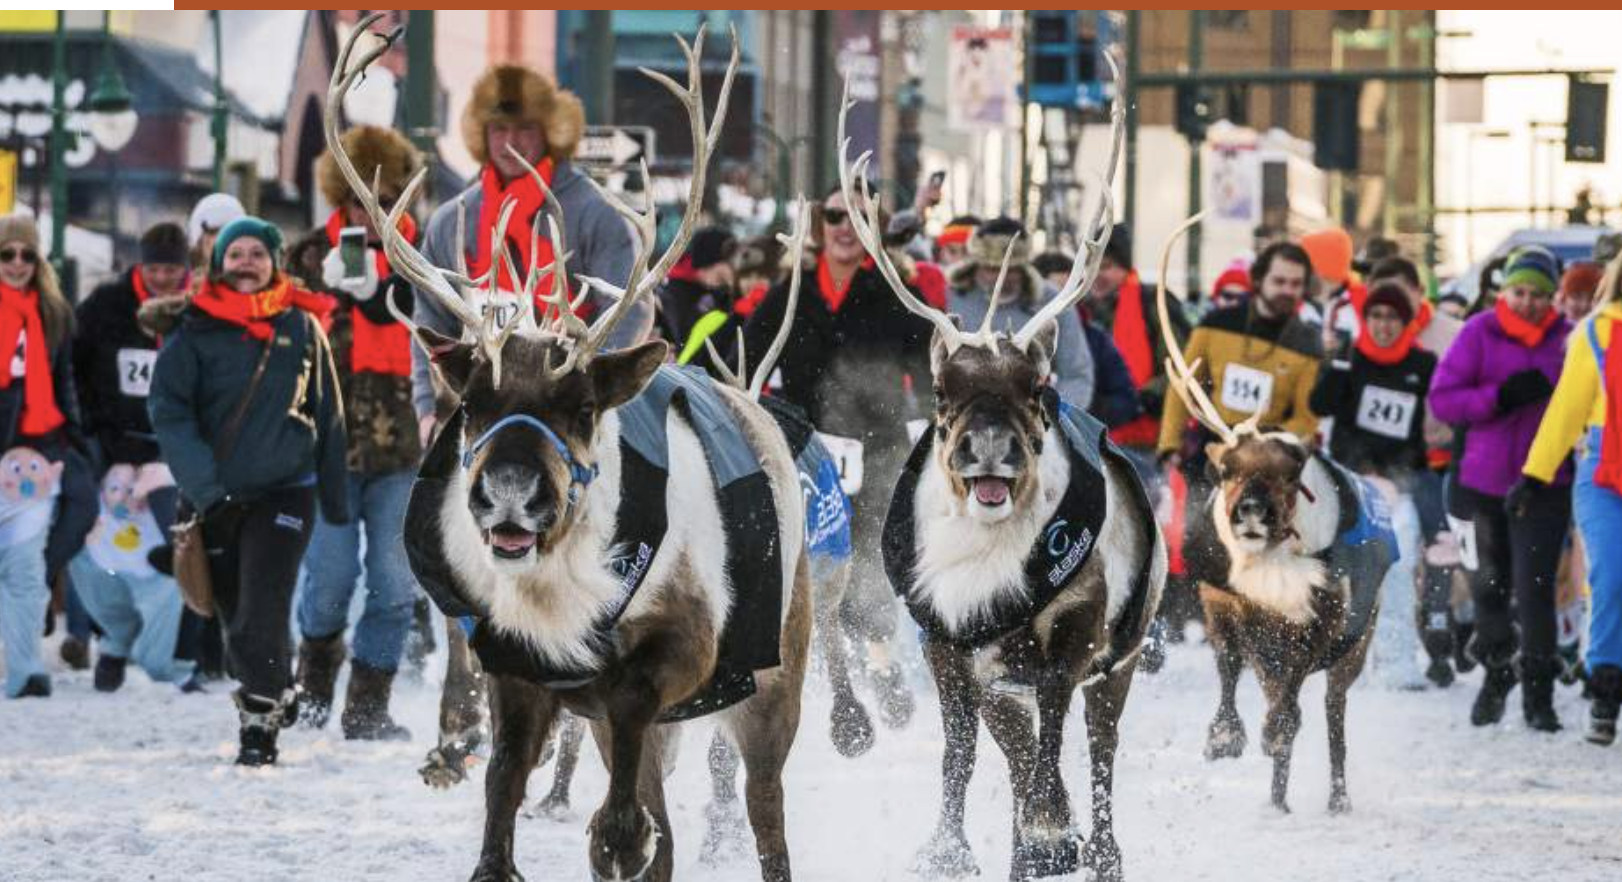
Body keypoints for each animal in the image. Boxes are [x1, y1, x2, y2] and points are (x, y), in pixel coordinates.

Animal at [328, 17, 811, 882]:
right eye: (473, 404)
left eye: (583, 407)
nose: (511, 494)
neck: (557, 596)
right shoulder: (514, 667)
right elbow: (504, 790)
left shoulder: (676, 654)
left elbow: (624, 791)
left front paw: (609, 833)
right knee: (664, 820)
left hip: (773, 680)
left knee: (763, 816)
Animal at [845, 61, 1166, 882]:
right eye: (942, 394)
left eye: (1036, 390)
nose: (988, 451)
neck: (985, 568)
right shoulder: (951, 645)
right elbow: (962, 757)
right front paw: (949, 849)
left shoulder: (1073, 638)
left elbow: (1051, 754)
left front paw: (1054, 840)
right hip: (1001, 676)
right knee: (1016, 757)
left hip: (1120, 661)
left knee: (1095, 756)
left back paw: (1097, 849)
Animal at [1154, 214, 1396, 815]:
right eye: (1226, 470)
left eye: (1292, 474)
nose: (1251, 513)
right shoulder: (1224, 603)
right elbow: (1227, 666)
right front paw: (1224, 737)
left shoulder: (1321, 621)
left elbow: (1290, 708)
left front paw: (1268, 734)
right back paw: (1278, 798)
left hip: (1358, 646)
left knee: (1332, 713)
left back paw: (1336, 796)